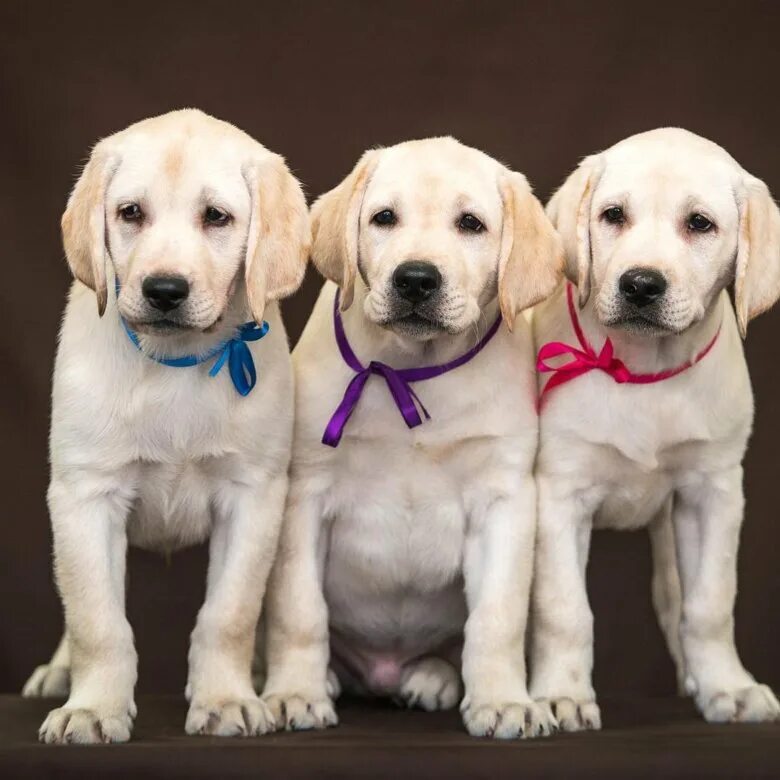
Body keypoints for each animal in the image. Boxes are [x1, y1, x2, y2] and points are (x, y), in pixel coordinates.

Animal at [22, 109, 308, 744]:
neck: (176, 363)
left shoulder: (253, 496)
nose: (164, 290)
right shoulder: (85, 495)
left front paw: (226, 699)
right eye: (131, 212)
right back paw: (59, 673)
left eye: (216, 216)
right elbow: (96, 619)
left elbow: (229, 614)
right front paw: (92, 708)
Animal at [264, 136, 568, 736]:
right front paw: (295, 693)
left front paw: (502, 701)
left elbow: (497, 616)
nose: (416, 278)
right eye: (384, 218)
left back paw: (432, 676)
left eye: (470, 224)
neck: (409, 370)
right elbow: (300, 609)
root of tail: (383, 671)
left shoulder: (505, 499)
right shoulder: (305, 495)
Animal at [532, 128, 780, 732]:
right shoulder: (559, 495)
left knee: (674, 597)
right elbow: (564, 608)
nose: (641, 284)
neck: (644, 371)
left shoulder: (713, 493)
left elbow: (710, 603)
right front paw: (561, 693)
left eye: (700, 224)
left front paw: (728, 687)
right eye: (613, 215)